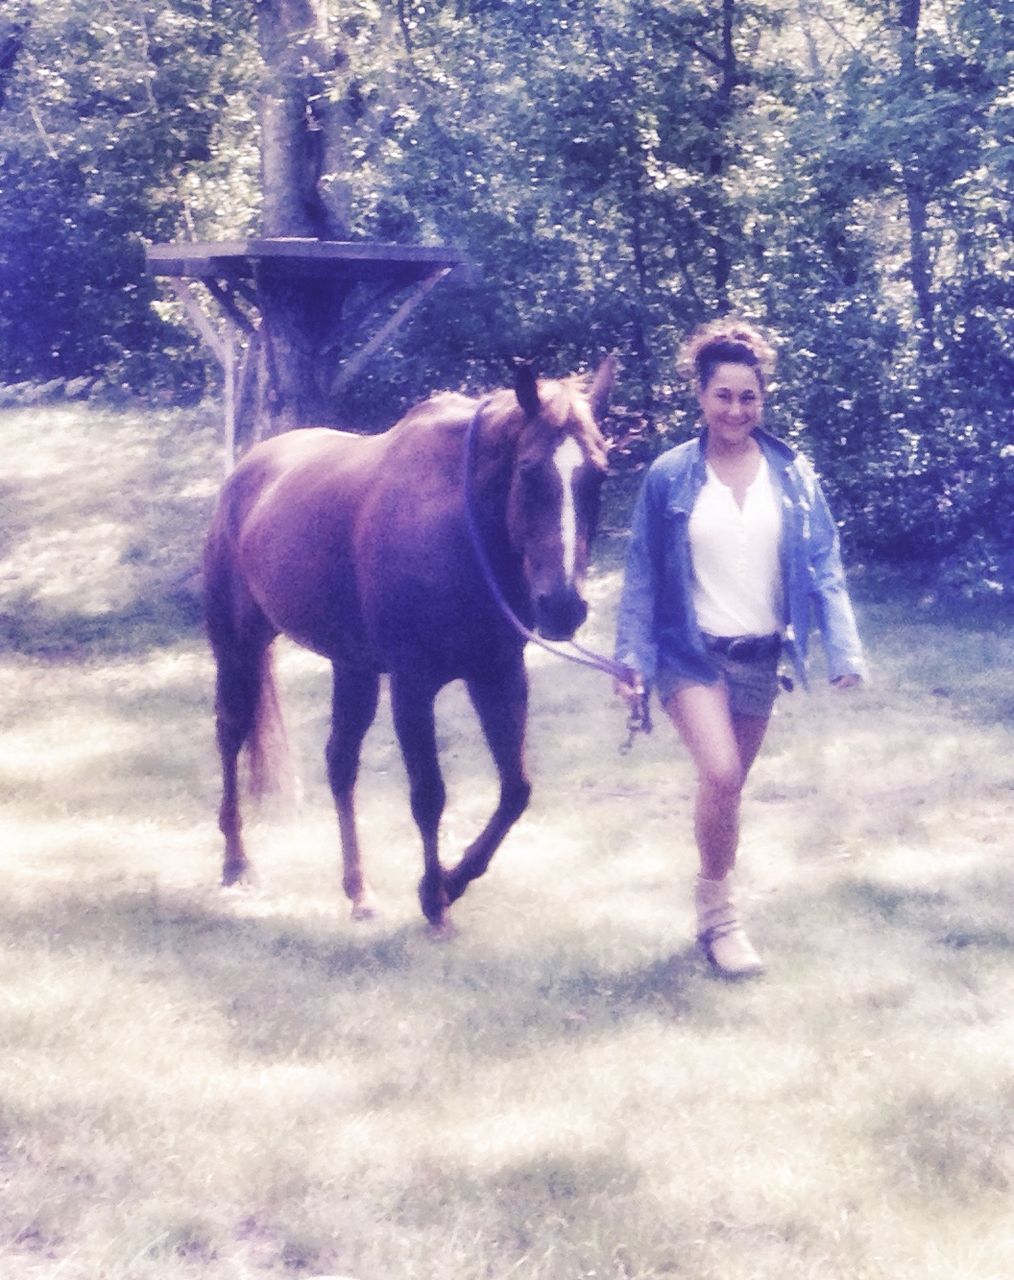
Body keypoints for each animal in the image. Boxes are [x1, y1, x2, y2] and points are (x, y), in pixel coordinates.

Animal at [203, 360, 614, 931]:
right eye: (530, 470)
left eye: (599, 474)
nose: (562, 606)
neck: (457, 527)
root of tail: (246, 472)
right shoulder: (413, 687)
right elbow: (429, 795)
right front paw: (436, 900)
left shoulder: (498, 674)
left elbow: (516, 790)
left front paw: (451, 882)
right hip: (238, 646)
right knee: (230, 733)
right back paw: (236, 865)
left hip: (351, 668)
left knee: (340, 763)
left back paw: (359, 891)